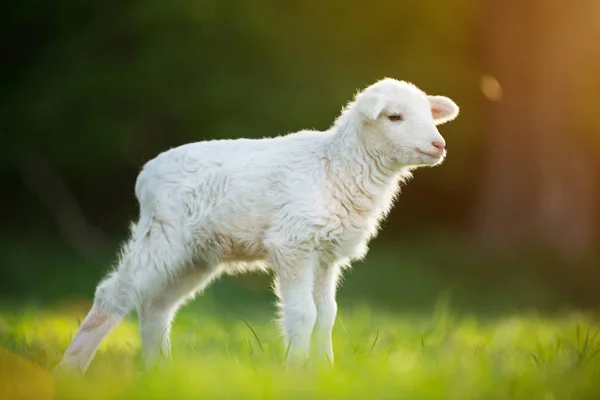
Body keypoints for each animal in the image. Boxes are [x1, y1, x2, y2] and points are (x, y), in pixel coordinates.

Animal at [56, 78, 460, 376]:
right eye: (394, 117)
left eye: (429, 115)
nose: (438, 145)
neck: (336, 167)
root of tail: (146, 175)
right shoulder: (293, 243)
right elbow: (304, 314)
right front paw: (296, 372)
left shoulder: (326, 255)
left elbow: (327, 314)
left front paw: (325, 370)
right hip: (164, 234)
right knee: (114, 295)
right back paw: (71, 369)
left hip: (195, 254)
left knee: (156, 306)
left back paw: (160, 372)